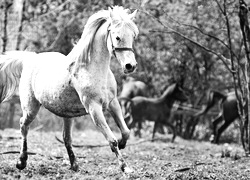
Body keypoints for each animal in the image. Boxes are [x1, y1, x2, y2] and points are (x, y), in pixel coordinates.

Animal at [0, 5, 139, 173]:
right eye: (117, 37)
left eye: (133, 36)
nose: (130, 66)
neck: (93, 69)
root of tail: (31, 58)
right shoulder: (94, 108)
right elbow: (112, 140)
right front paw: (125, 167)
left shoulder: (113, 103)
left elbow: (126, 131)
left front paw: (123, 144)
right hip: (31, 107)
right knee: (23, 126)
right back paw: (21, 161)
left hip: (67, 114)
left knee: (66, 138)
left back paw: (74, 165)